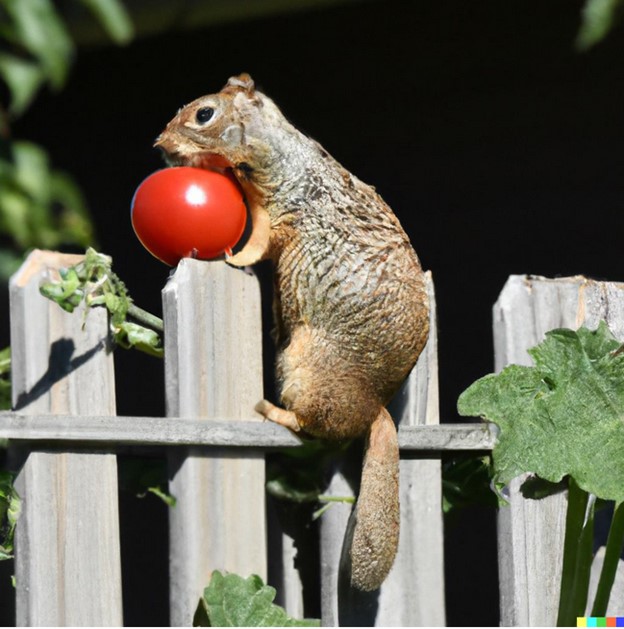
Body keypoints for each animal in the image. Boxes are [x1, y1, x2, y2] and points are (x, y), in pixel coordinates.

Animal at [155, 76, 428, 592]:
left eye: (204, 114)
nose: (160, 146)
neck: (281, 147)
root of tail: (373, 410)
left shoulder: (275, 214)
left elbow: (255, 246)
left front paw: (233, 258)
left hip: (304, 371)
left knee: (312, 427)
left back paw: (273, 411)